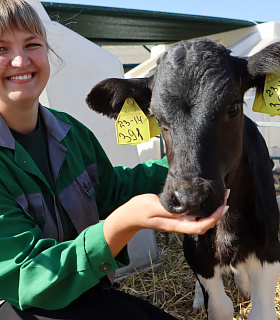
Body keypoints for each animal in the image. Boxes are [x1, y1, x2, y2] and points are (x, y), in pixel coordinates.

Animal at [86, 38, 280, 318]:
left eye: (233, 106)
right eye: (156, 116)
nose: (191, 198)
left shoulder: (269, 250)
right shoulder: (197, 252)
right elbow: (220, 306)